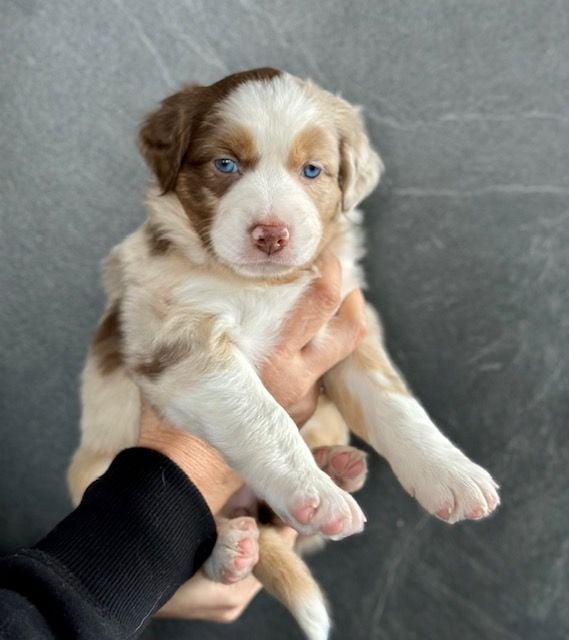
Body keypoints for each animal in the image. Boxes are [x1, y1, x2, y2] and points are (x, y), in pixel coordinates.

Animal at [68, 68, 500, 639]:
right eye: (225, 165)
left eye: (312, 170)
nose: (270, 234)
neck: (263, 285)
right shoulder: (182, 342)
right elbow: (262, 415)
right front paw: (316, 497)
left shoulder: (349, 330)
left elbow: (397, 404)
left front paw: (452, 473)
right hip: (91, 469)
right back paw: (232, 546)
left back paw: (339, 467)